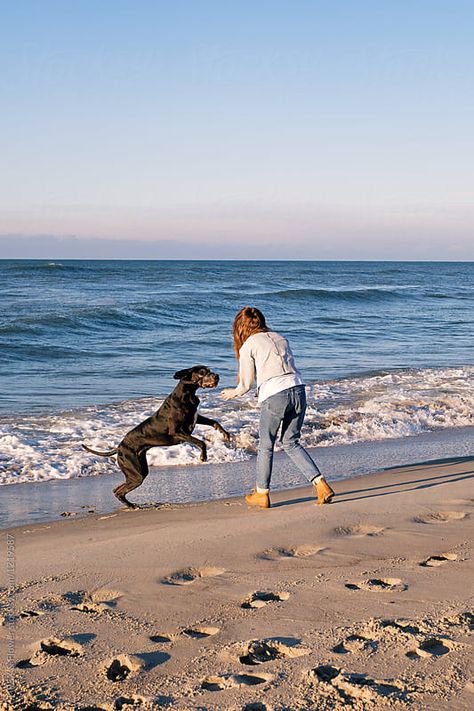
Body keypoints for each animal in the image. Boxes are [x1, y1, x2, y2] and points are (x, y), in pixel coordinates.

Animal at [83, 368, 231, 512]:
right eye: (202, 372)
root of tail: (119, 447)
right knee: (118, 491)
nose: (217, 376)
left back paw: (130, 505)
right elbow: (201, 442)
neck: (187, 394)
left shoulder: (194, 419)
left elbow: (214, 421)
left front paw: (225, 434)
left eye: (209, 370)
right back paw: (132, 506)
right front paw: (203, 456)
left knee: (117, 489)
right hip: (136, 473)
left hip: (139, 469)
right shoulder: (177, 432)